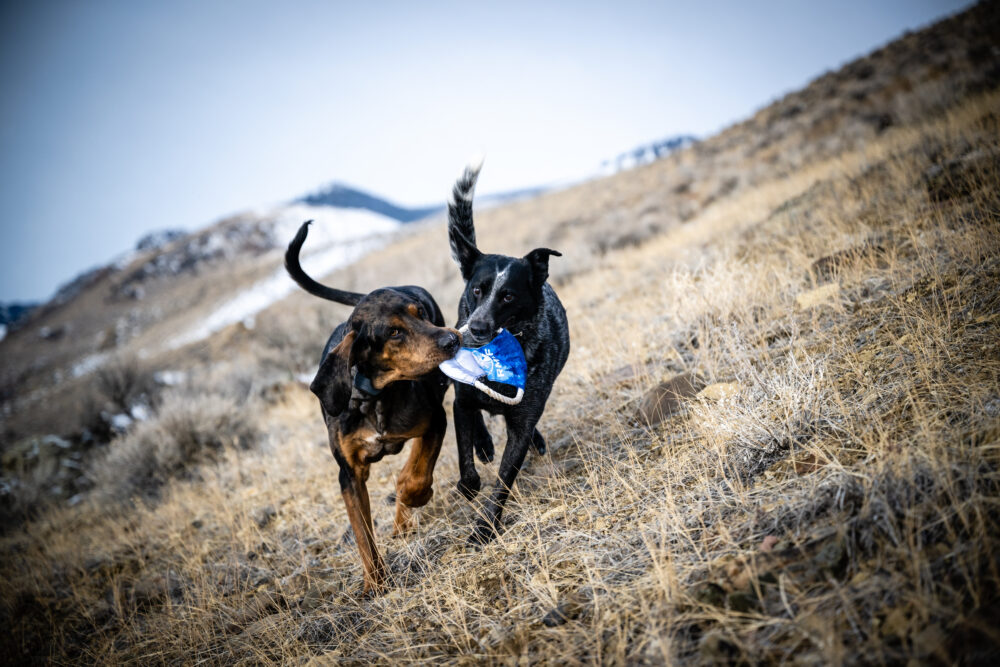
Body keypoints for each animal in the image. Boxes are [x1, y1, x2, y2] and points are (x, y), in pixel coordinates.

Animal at [286, 220, 460, 596]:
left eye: (420, 314)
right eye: (393, 332)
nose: (452, 340)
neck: (375, 397)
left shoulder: (435, 420)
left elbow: (414, 475)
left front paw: (411, 496)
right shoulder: (349, 474)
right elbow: (363, 534)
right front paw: (374, 583)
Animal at [446, 159, 572, 544]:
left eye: (508, 296)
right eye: (476, 290)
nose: (476, 329)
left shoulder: (522, 422)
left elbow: (504, 481)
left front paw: (485, 529)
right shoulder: (462, 401)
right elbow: (466, 456)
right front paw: (470, 482)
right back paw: (484, 444)